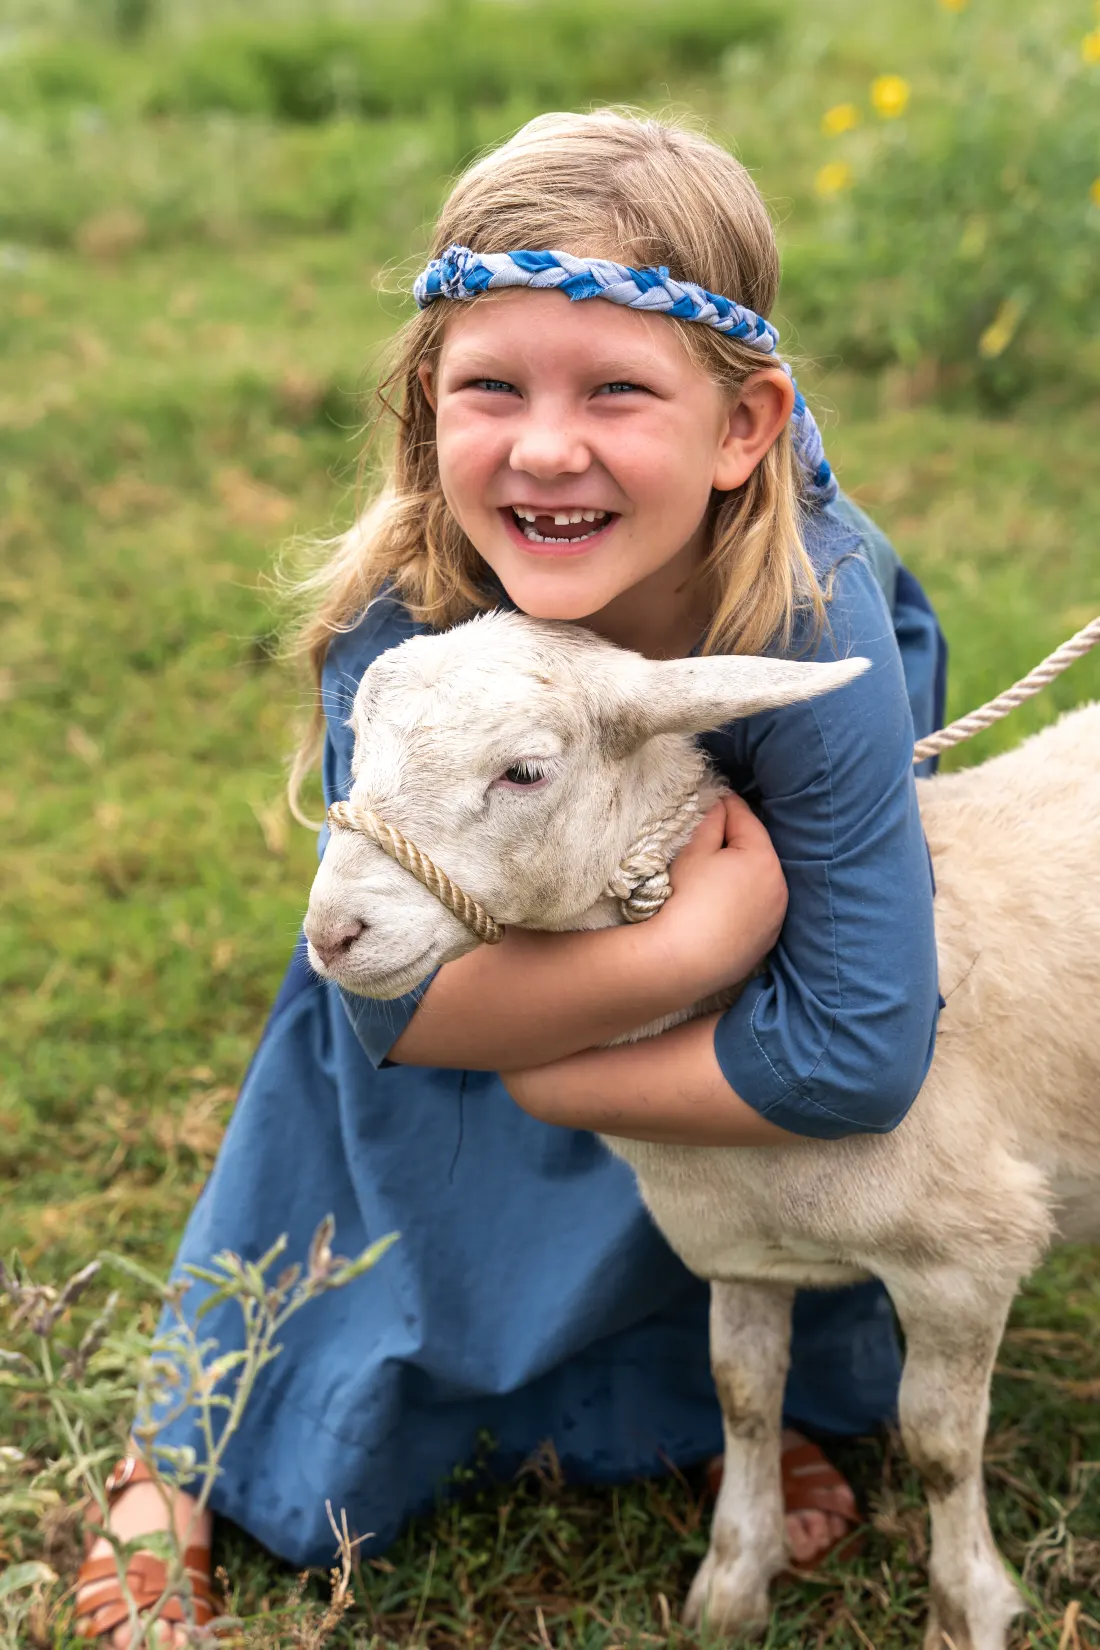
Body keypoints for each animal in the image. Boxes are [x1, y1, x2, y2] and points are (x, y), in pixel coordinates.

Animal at [304, 608, 1100, 1650]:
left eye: (525, 771)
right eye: (356, 743)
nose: (332, 934)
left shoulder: (969, 1257)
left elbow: (937, 1445)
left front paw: (970, 1609)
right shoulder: (741, 1251)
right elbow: (744, 1397)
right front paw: (734, 1582)